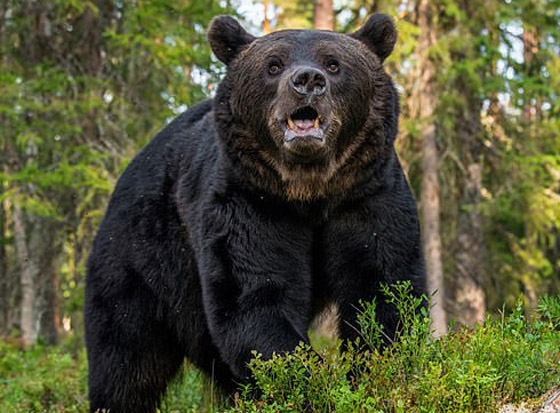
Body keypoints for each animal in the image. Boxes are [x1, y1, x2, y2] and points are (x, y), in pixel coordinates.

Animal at [84, 12, 424, 412]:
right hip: (141, 257)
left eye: (334, 64)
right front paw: (314, 384)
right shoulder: (248, 204)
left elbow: (384, 289)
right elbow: (255, 298)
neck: (311, 191)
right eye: (273, 65)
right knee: (127, 357)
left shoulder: (367, 196)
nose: (307, 81)